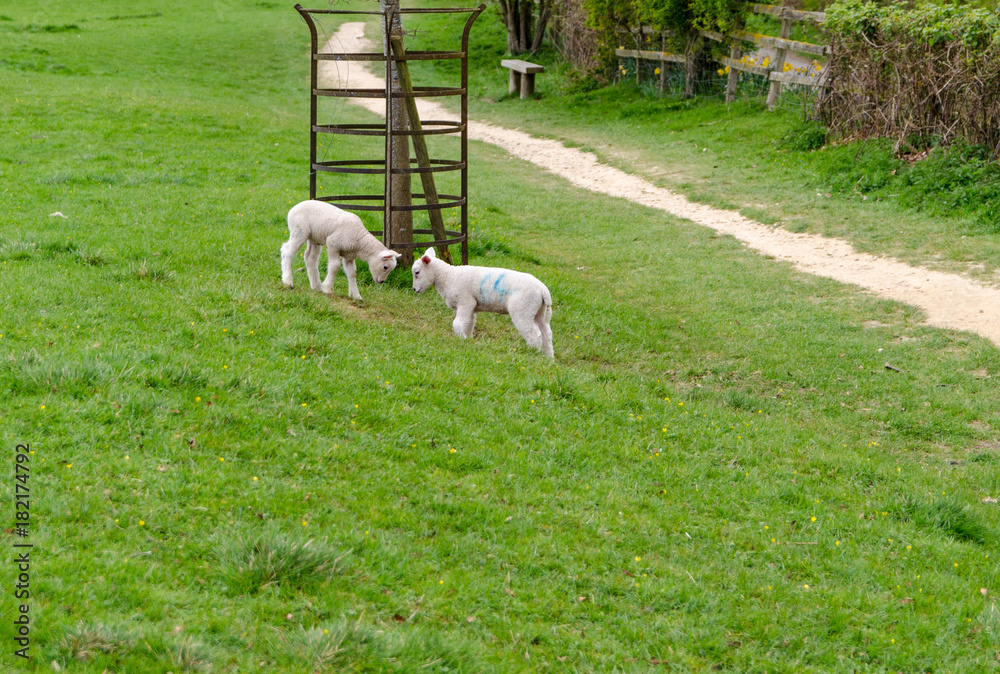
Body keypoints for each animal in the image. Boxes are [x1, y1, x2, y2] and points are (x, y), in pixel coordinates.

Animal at [412, 247, 554, 358]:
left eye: (417, 273)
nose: (414, 289)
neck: (447, 277)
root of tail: (543, 290)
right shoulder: (472, 306)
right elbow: (469, 324)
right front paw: (467, 340)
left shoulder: (465, 301)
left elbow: (457, 323)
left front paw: (461, 340)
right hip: (538, 311)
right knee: (547, 334)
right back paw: (548, 358)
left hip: (523, 310)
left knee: (534, 334)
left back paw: (533, 353)